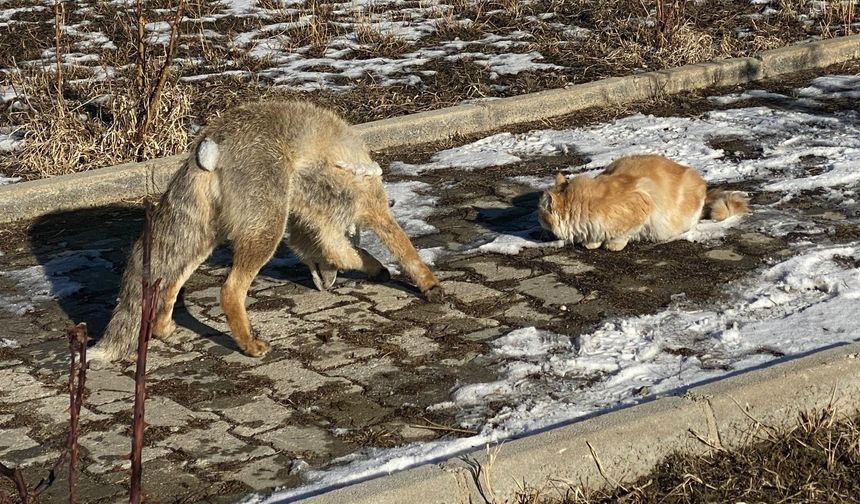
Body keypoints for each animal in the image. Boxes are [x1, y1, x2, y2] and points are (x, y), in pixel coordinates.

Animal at [91, 100, 446, 360]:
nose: (326, 286)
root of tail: (212, 141)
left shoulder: (317, 220)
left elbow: (349, 252)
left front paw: (373, 267)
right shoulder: (365, 208)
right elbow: (399, 249)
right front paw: (428, 284)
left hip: (207, 237)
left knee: (169, 284)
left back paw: (163, 328)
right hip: (266, 231)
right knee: (229, 291)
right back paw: (249, 345)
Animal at [540, 153, 748, 249]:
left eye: (541, 215)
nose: (539, 222)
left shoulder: (641, 206)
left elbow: (620, 236)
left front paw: (610, 245)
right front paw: (592, 243)